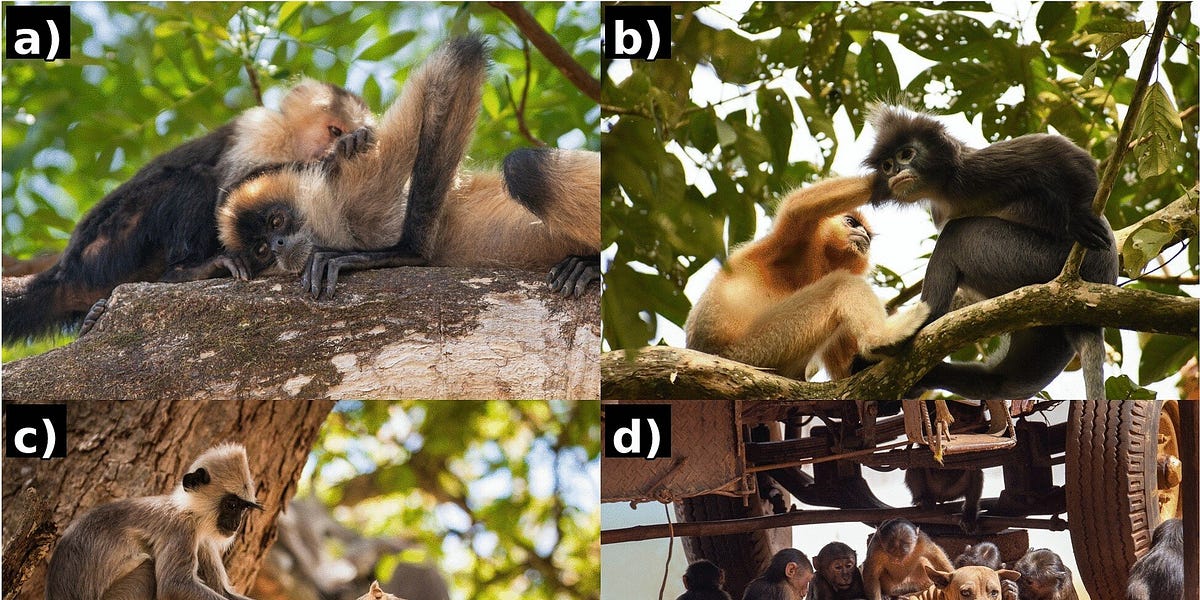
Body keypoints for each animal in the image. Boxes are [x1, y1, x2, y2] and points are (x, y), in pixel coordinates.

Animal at [2, 80, 375, 343]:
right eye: (333, 129)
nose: (335, 141)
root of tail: (66, 269)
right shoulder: (258, 131)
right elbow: (229, 194)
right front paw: (338, 152)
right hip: (108, 244)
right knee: (196, 179)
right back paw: (185, 272)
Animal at [45, 443, 264, 600]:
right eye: (232, 505)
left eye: (243, 508)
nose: (236, 524)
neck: (186, 509)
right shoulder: (181, 528)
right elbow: (174, 585)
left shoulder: (202, 539)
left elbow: (221, 590)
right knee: (148, 569)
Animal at [217, 36, 600, 300]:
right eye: (262, 250)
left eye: (276, 221)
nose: (279, 245)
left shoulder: (358, 185)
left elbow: (456, 62)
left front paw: (403, 254)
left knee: (523, 167)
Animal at [684, 175, 931, 380]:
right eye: (851, 222)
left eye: (867, 233)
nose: (864, 235)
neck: (815, 260)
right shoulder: (791, 241)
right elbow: (797, 208)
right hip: (755, 349)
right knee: (841, 284)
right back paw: (880, 338)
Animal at [862, 105, 1119, 401]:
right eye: (887, 165)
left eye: (906, 154)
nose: (896, 171)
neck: (944, 189)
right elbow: (998, 384)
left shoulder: (975, 171)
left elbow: (1058, 150)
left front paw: (1079, 215)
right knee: (999, 381)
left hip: (1036, 259)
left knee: (956, 234)